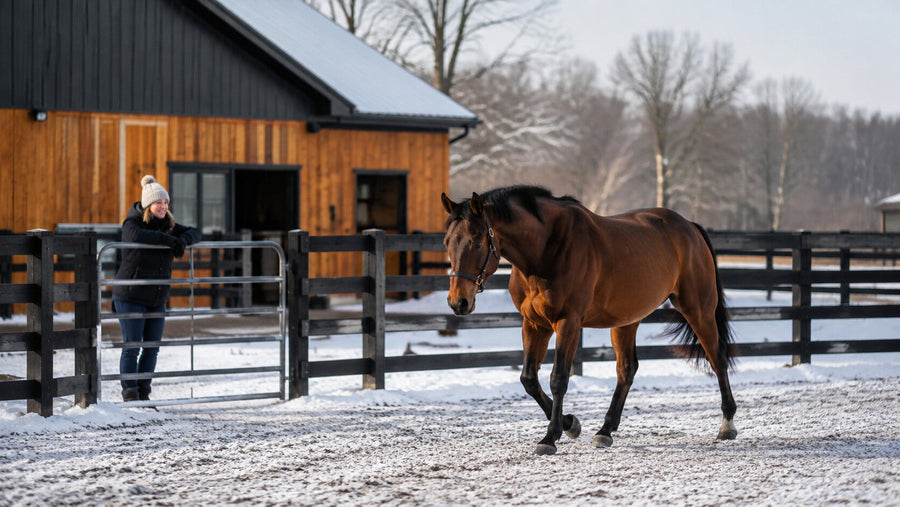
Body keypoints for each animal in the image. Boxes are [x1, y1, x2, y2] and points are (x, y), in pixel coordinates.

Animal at [441, 185, 737, 455]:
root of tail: (689, 227)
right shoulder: (534, 324)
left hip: (698, 309)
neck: (547, 249)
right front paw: (570, 423)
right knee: (626, 370)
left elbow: (558, 378)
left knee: (717, 358)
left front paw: (551, 437)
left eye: (477, 242)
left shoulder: (568, 322)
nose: (458, 302)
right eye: (447, 242)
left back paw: (727, 424)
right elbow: (529, 379)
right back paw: (605, 430)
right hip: (626, 320)